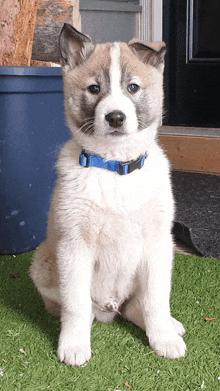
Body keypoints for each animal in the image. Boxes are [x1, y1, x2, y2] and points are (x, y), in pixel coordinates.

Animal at [30, 24, 186, 368]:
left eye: (132, 87)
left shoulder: (158, 243)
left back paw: (170, 326)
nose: (115, 117)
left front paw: (164, 338)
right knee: (77, 307)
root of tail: (110, 308)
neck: (116, 167)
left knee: (136, 305)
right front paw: (74, 345)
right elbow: (76, 304)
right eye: (93, 88)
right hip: (44, 261)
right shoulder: (74, 244)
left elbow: (157, 299)